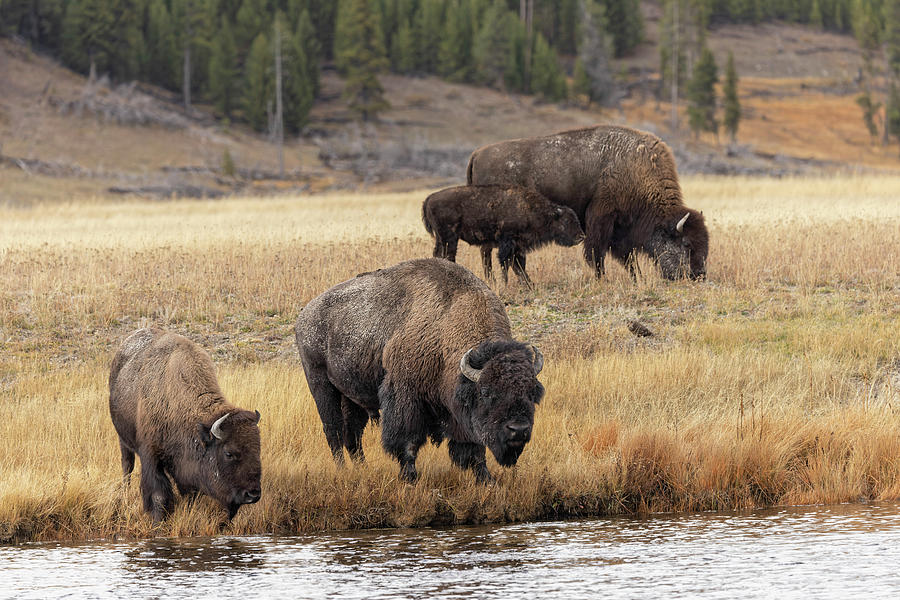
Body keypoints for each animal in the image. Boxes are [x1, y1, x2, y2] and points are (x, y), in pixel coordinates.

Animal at [109, 326, 262, 524]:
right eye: (228, 453)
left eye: (258, 449)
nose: (253, 494)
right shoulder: (151, 455)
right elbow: (158, 494)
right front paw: (157, 521)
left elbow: (189, 494)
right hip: (123, 439)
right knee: (127, 465)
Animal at [298, 258, 548, 482]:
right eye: (486, 392)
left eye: (531, 393)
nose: (518, 429)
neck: (444, 330)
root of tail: (305, 314)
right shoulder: (406, 398)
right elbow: (408, 443)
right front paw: (410, 478)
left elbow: (474, 448)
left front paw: (486, 480)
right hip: (320, 384)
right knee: (333, 430)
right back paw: (342, 469)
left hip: (351, 396)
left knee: (353, 434)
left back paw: (362, 468)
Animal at [422, 183, 584, 286]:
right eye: (567, 221)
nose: (581, 236)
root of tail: (429, 198)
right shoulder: (507, 242)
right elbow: (506, 262)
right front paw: (505, 283)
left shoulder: (518, 246)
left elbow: (519, 265)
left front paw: (529, 284)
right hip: (450, 238)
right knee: (449, 256)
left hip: (441, 239)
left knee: (439, 254)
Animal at [464, 126, 712, 278]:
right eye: (686, 244)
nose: (698, 274)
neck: (635, 168)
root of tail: (477, 154)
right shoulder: (601, 218)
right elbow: (596, 253)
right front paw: (603, 279)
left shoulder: (621, 229)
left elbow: (627, 258)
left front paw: (637, 279)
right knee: (492, 254)